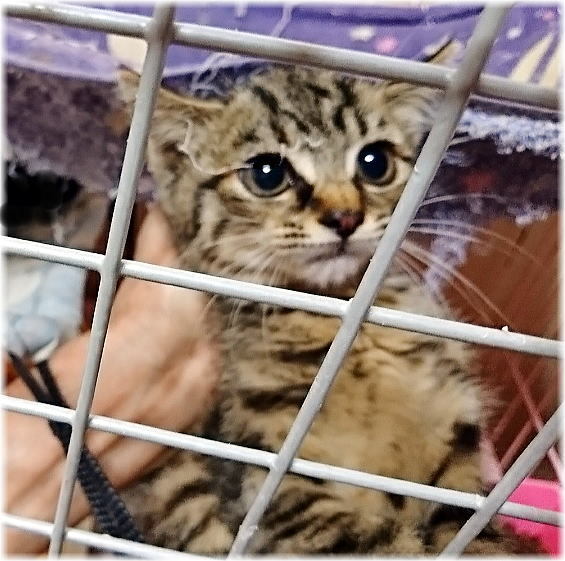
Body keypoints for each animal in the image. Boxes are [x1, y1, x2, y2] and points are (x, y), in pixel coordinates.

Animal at [116, 48, 542, 555]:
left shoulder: (454, 451)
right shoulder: (270, 487)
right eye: (267, 173)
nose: (345, 216)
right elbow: (376, 546)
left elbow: (474, 534)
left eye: (375, 162)